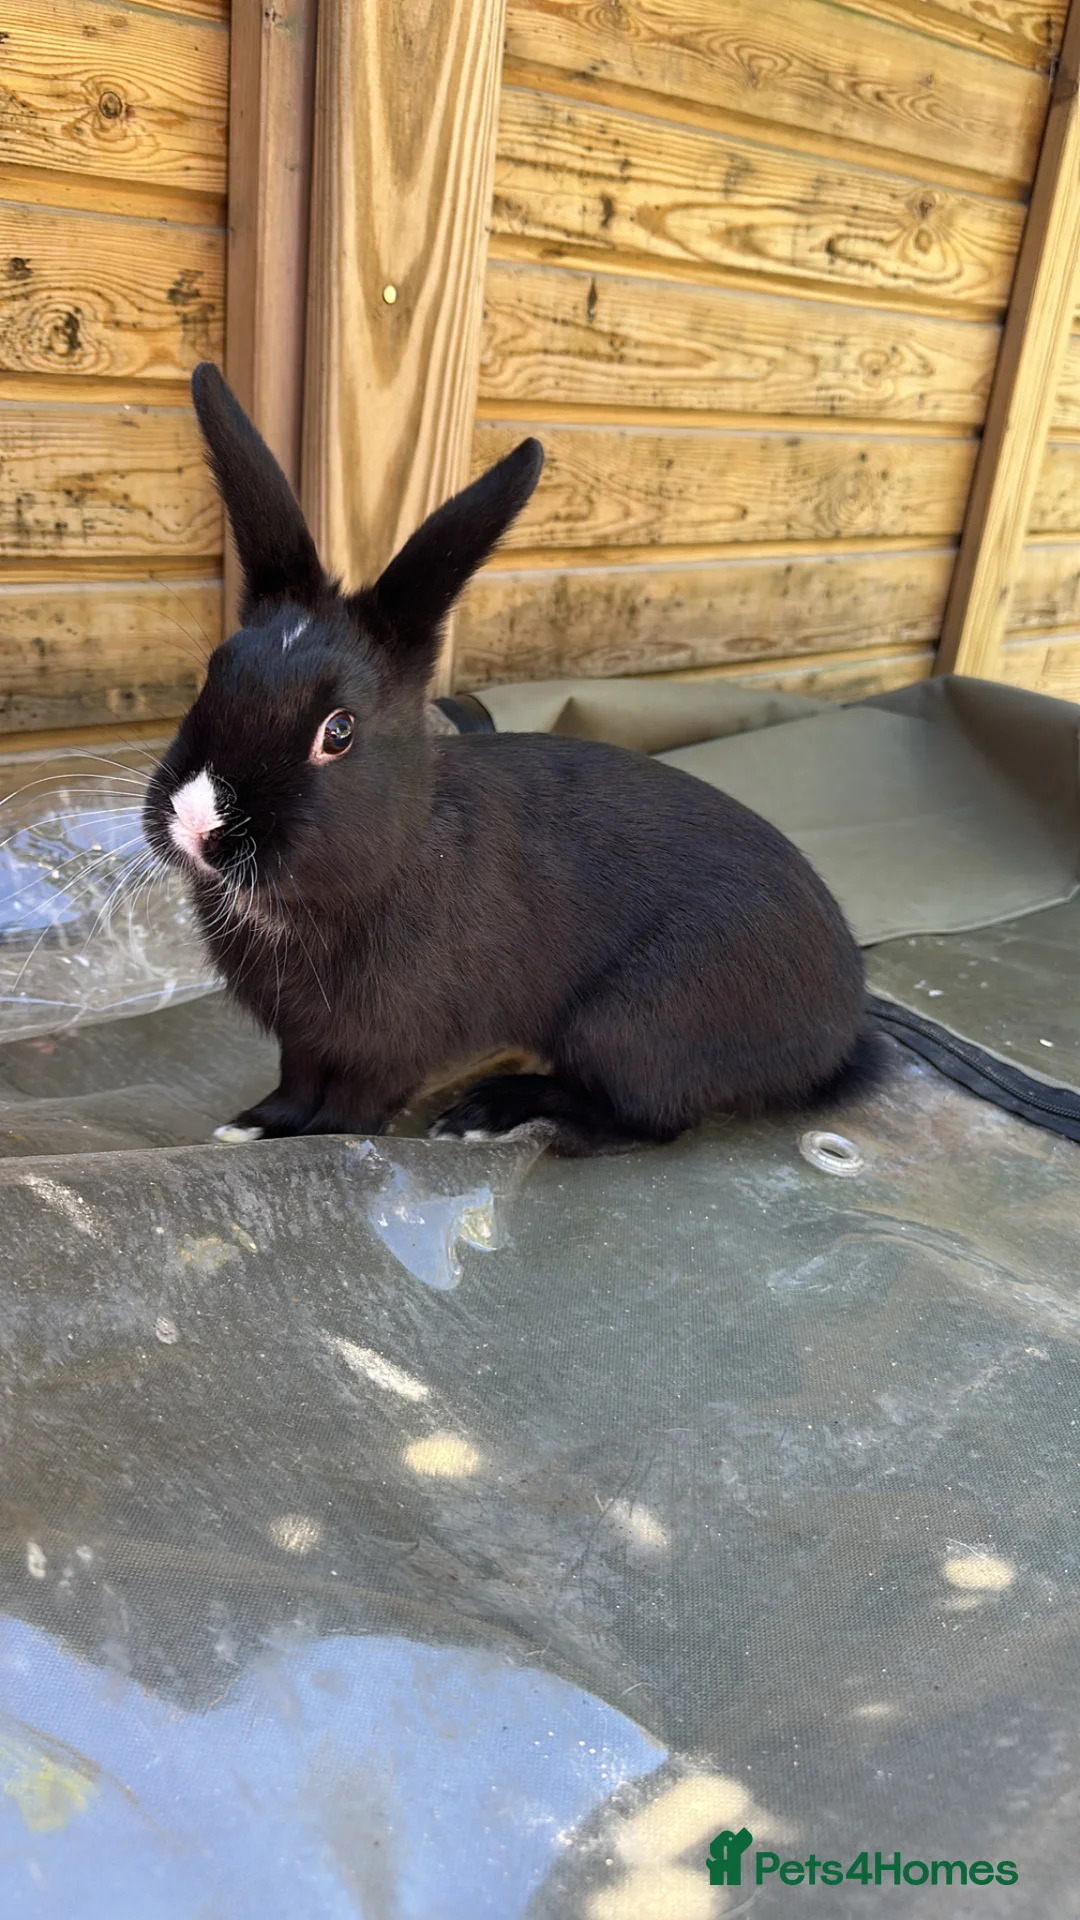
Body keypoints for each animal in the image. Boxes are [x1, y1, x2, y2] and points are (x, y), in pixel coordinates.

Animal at [143, 363, 870, 1156]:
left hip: (629, 1028)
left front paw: (324, 1144)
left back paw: (491, 1114)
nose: (196, 822)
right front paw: (252, 1129)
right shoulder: (301, 1037)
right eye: (214, 675)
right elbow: (296, 1082)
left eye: (337, 732)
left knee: (642, 1121)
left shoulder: (391, 1044)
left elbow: (354, 1104)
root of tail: (837, 1034)